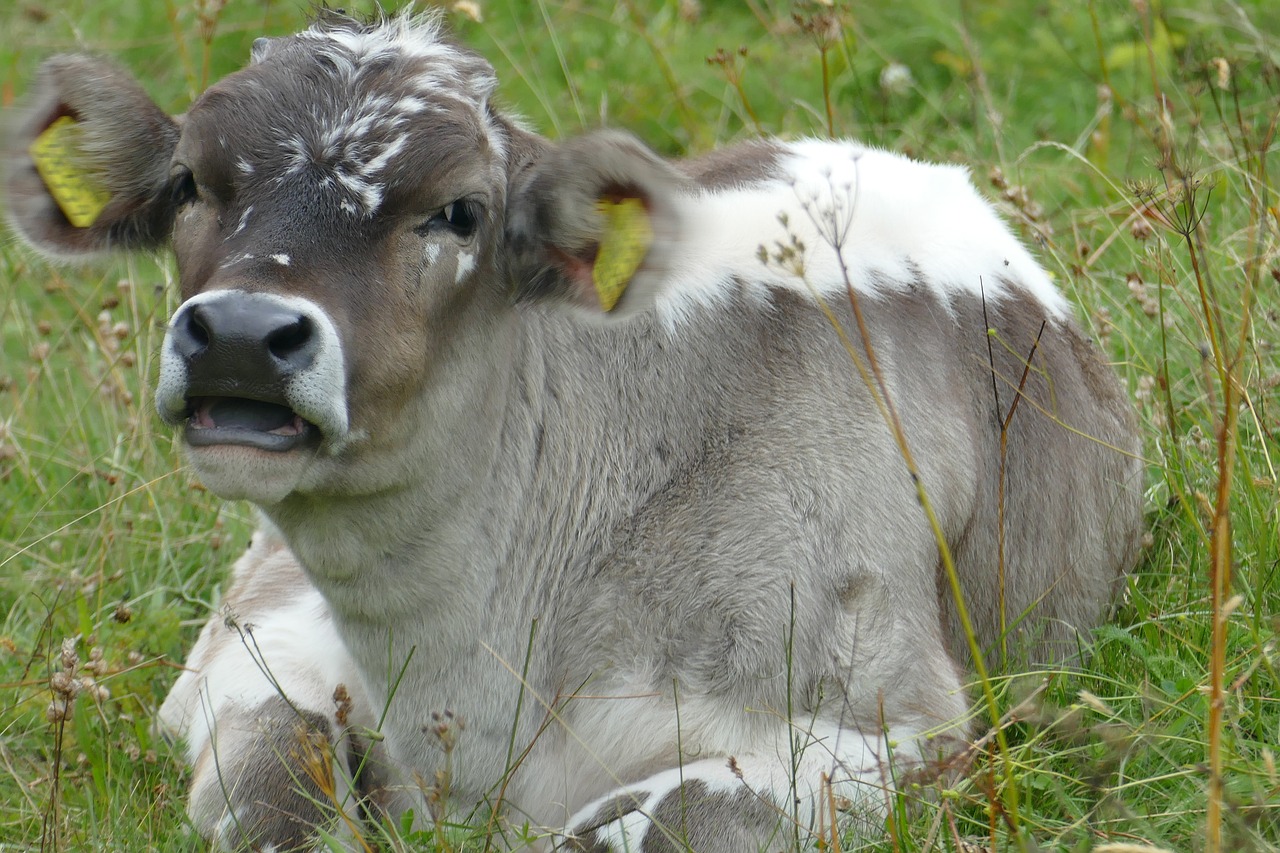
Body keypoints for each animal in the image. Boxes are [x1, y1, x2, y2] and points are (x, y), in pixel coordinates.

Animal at [5, 11, 1146, 850]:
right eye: (193, 183)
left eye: (459, 211)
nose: (241, 334)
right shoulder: (250, 640)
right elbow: (275, 786)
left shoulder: (900, 722)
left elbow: (676, 819)